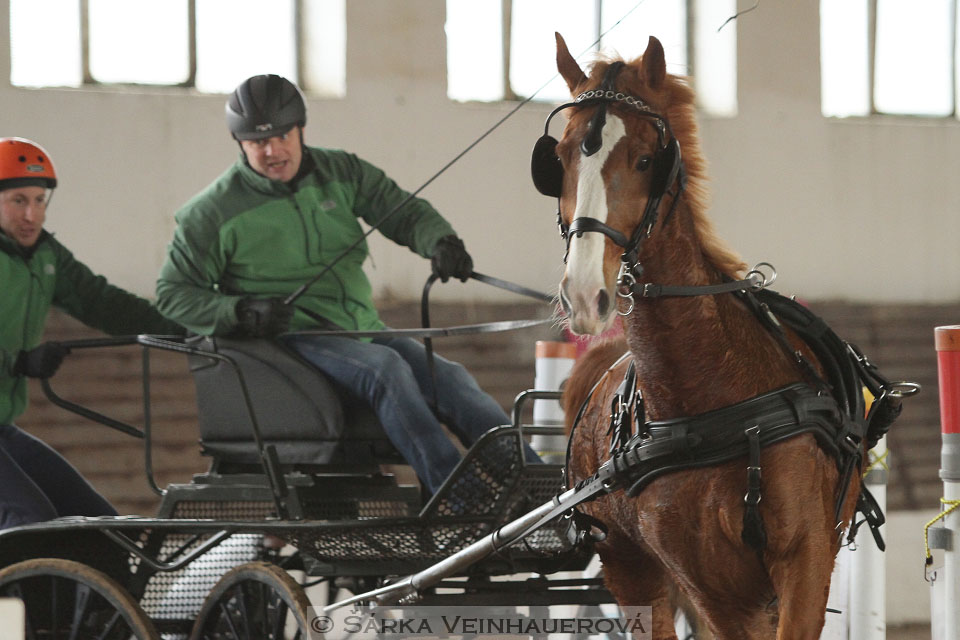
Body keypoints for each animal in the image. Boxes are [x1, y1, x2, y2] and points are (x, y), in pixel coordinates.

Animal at [540, 36, 864, 640]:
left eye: (647, 159)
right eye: (562, 158)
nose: (585, 293)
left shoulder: (806, 557)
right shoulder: (709, 583)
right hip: (630, 568)